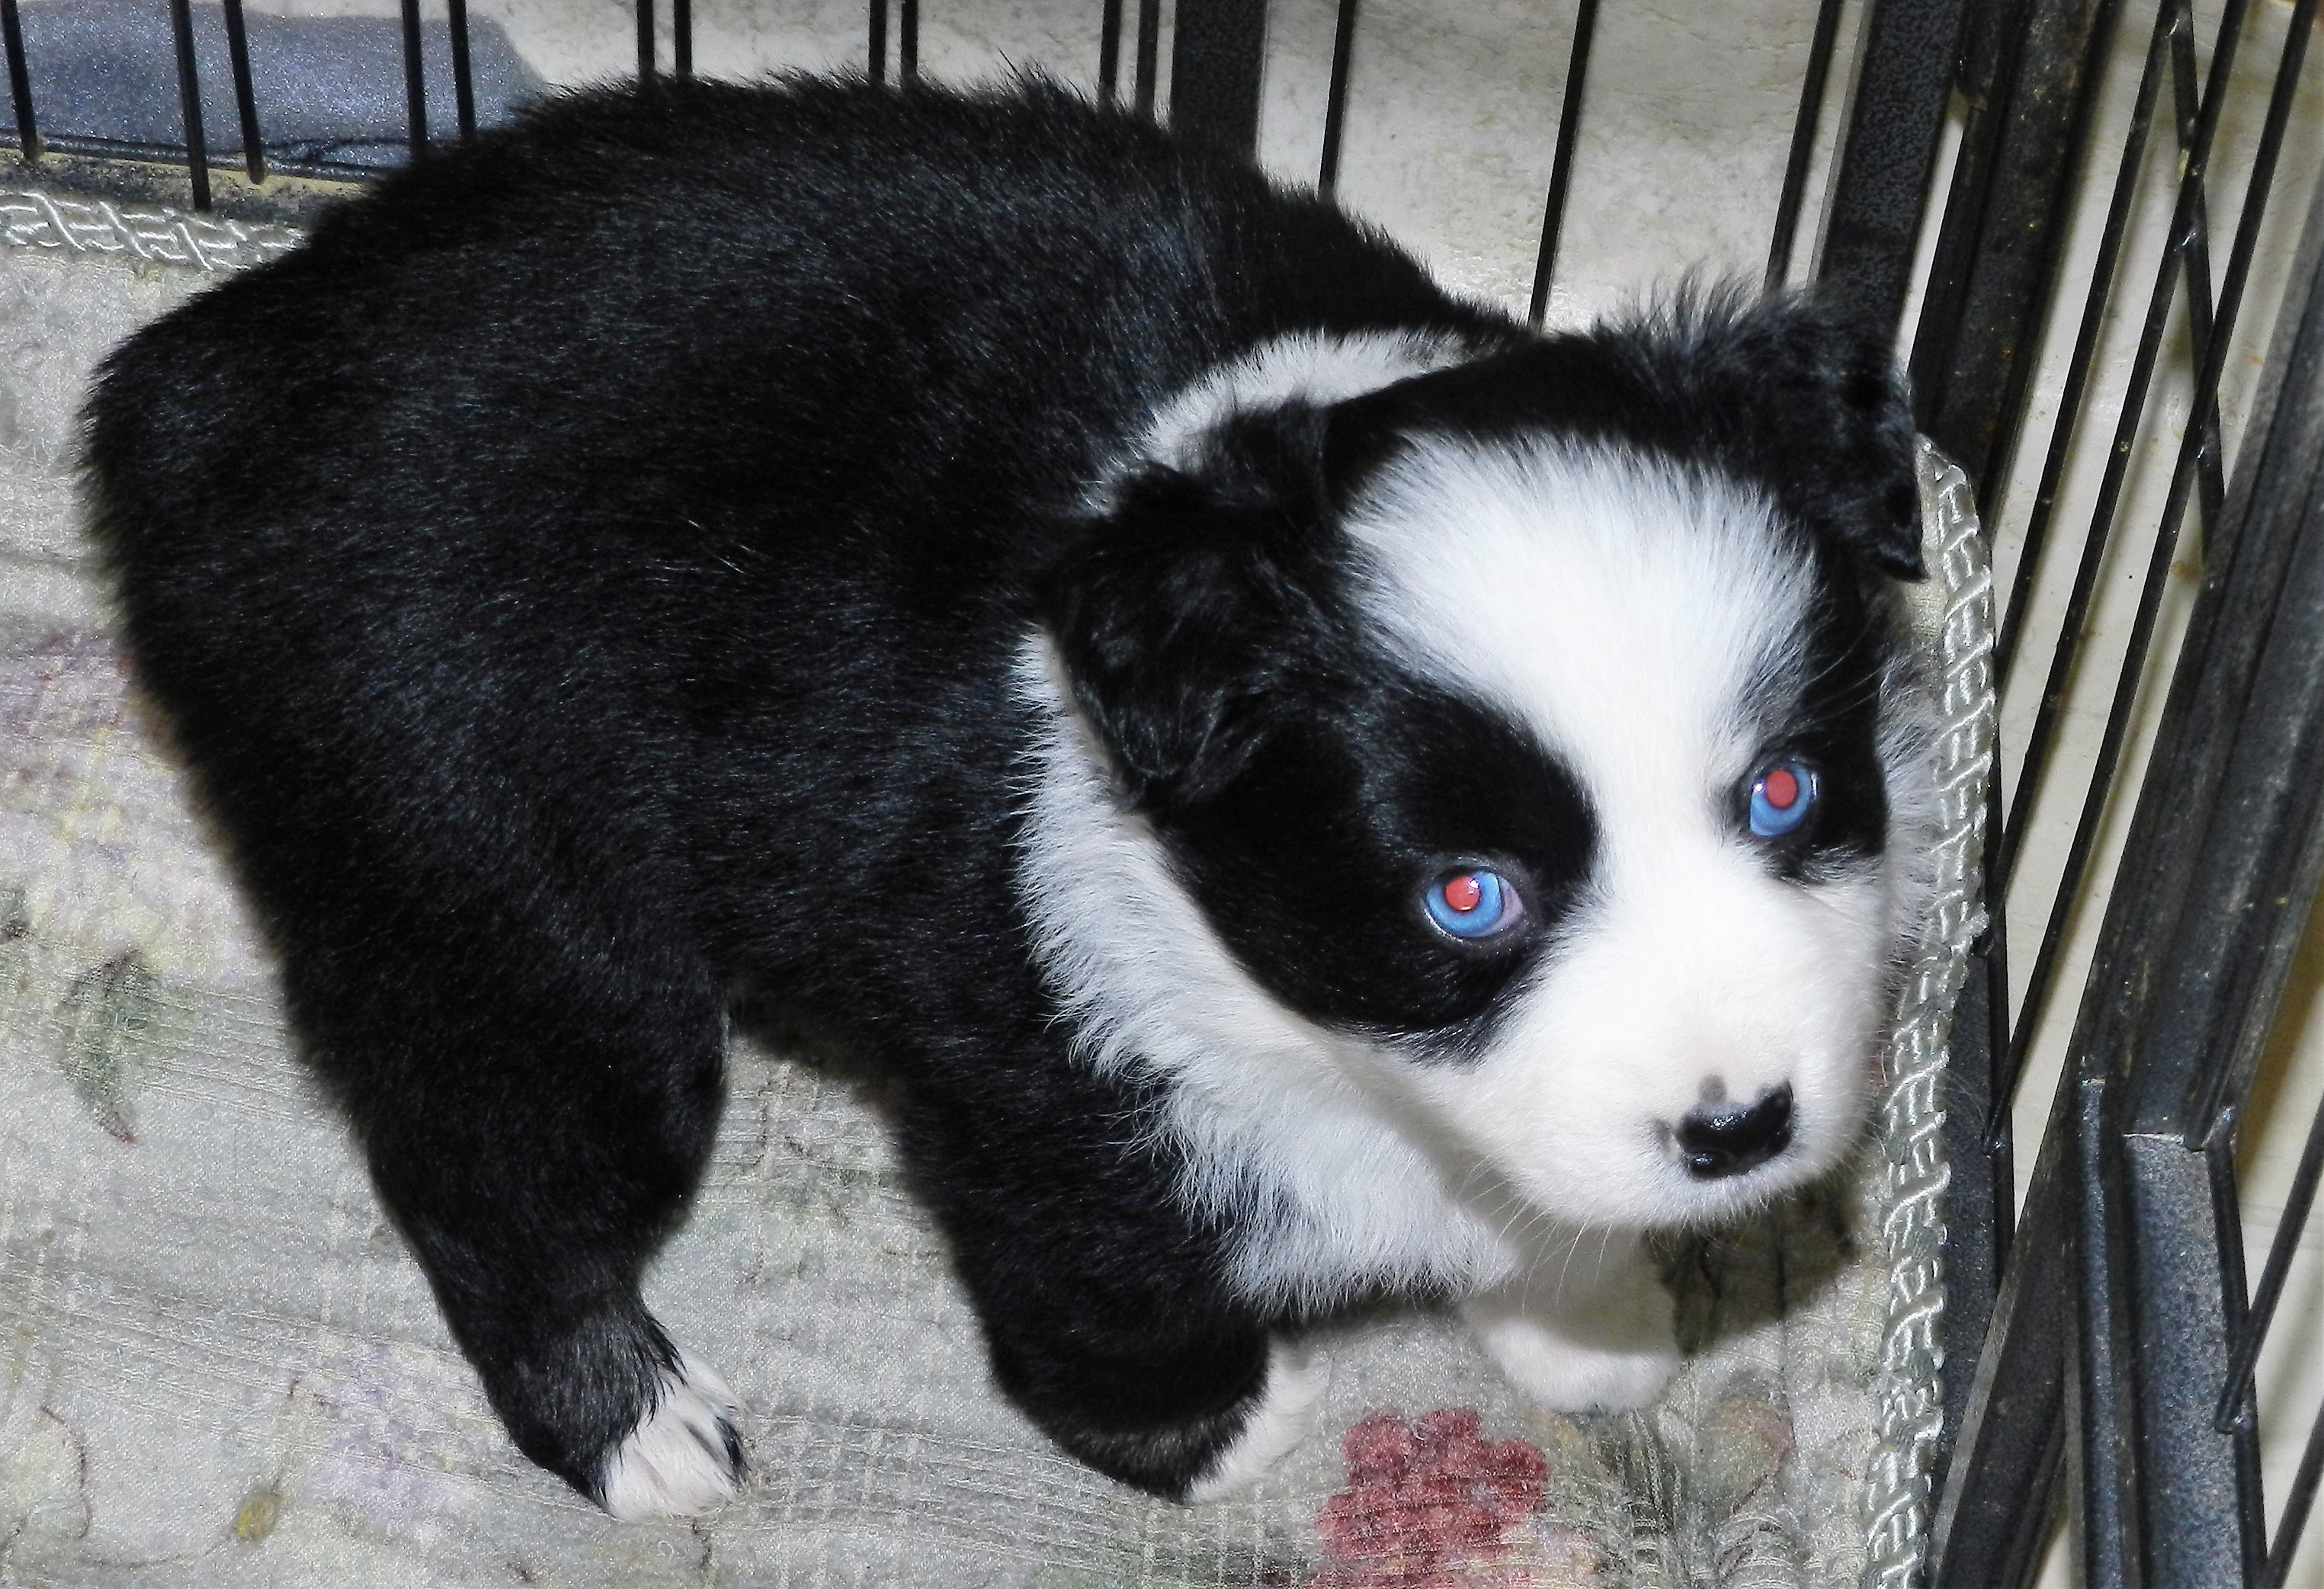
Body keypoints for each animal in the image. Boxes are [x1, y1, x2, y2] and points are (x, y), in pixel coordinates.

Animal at [83, 74, 1931, 1520]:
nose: (1740, 1130)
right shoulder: (1033, 1067)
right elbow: (1100, 1277)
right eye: (1465, 894)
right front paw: (1211, 1435)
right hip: (505, 890)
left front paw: (1588, 1330)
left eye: (1785, 790)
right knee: (487, 1160)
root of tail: (198, 383)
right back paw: (631, 1426)